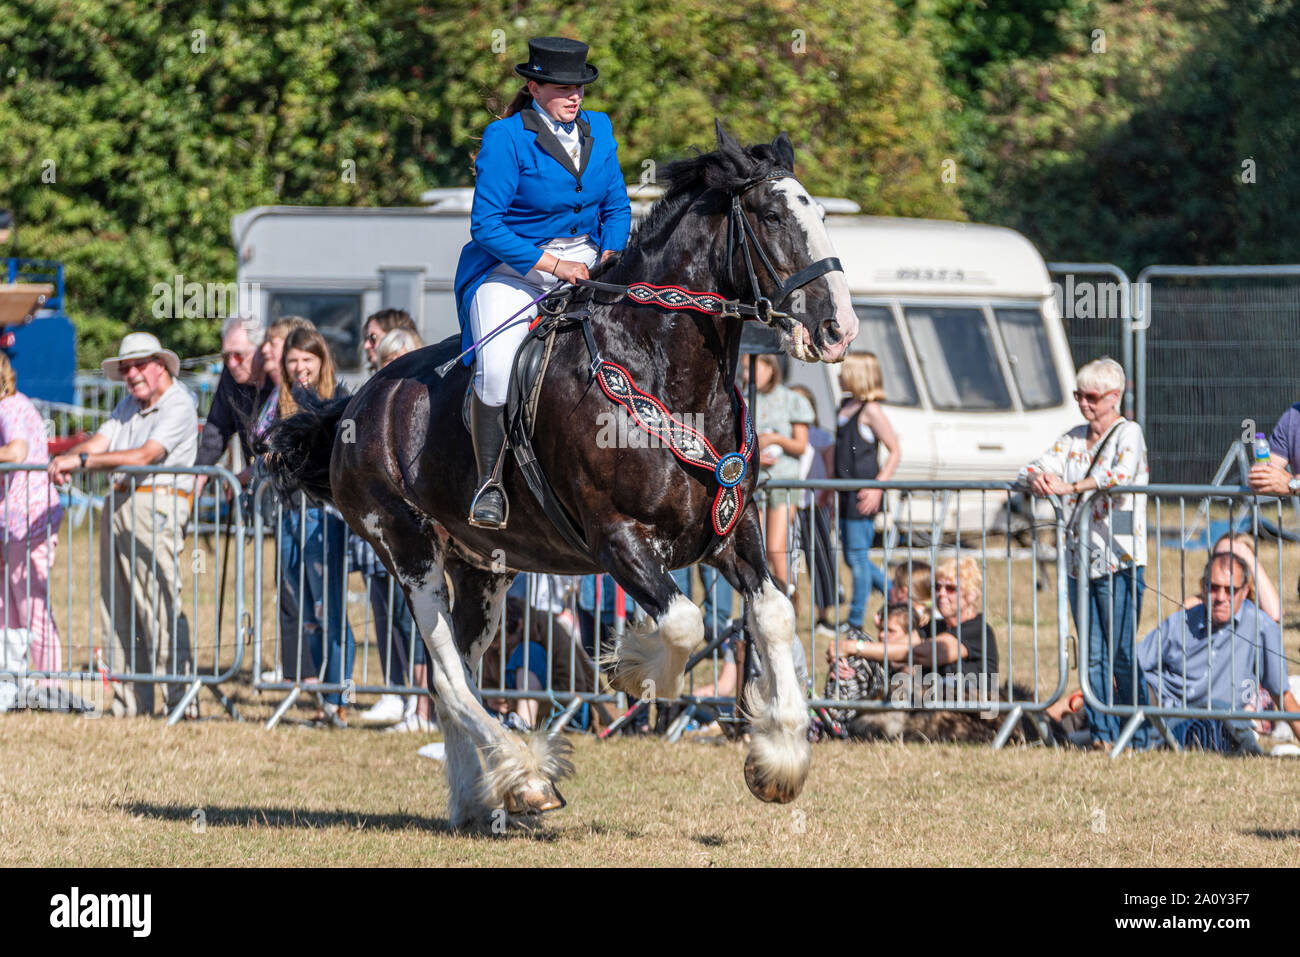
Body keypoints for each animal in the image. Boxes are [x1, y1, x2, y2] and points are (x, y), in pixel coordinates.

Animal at [266, 125, 863, 832]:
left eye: (820, 215)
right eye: (772, 216)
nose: (838, 330)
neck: (662, 367)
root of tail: (355, 405)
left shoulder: (728, 531)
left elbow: (773, 614)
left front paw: (778, 761)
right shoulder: (618, 538)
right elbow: (684, 623)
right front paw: (633, 669)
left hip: (482, 568)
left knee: (457, 674)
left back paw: (480, 798)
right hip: (409, 552)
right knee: (448, 678)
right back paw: (524, 779)